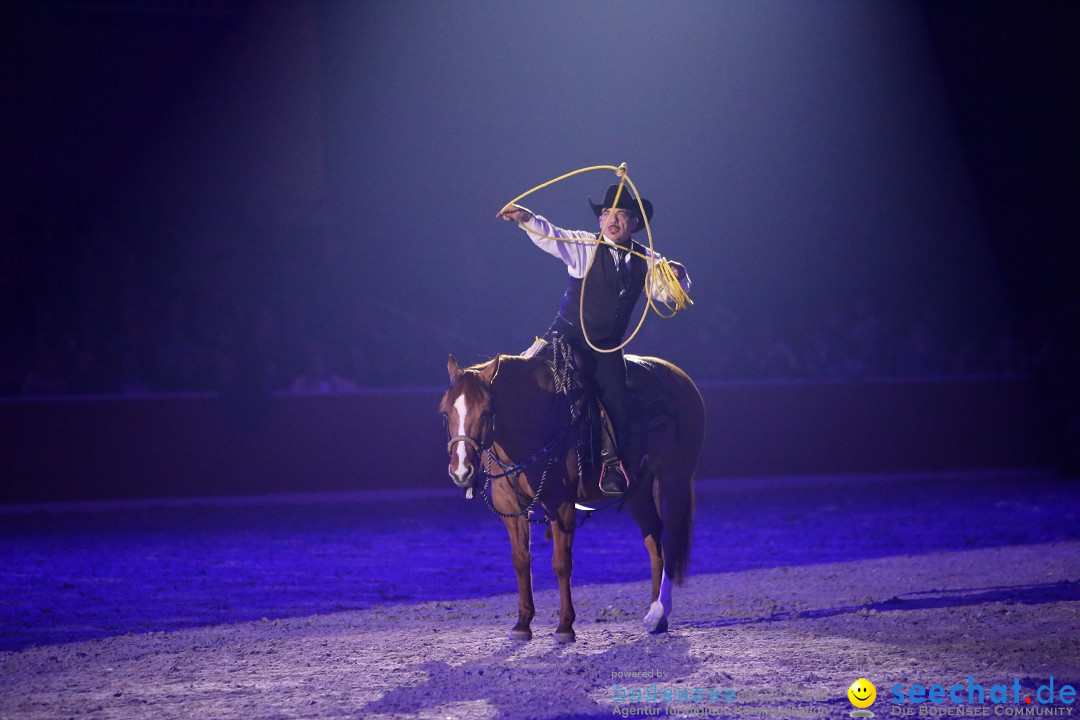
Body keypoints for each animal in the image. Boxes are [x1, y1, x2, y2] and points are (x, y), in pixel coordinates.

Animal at [440, 349, 708, 643]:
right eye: (445, 413)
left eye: (486, 413)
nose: (461, 470)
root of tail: (681, 379)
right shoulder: (511, 506)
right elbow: (521, 561)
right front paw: (522, 624)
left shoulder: (561, 503)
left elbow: (561, 563)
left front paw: (565, 626)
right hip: (638, 490)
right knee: (654, 541)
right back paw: (654, 614)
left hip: (675, 477)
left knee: (669, 540)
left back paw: (661, 612)